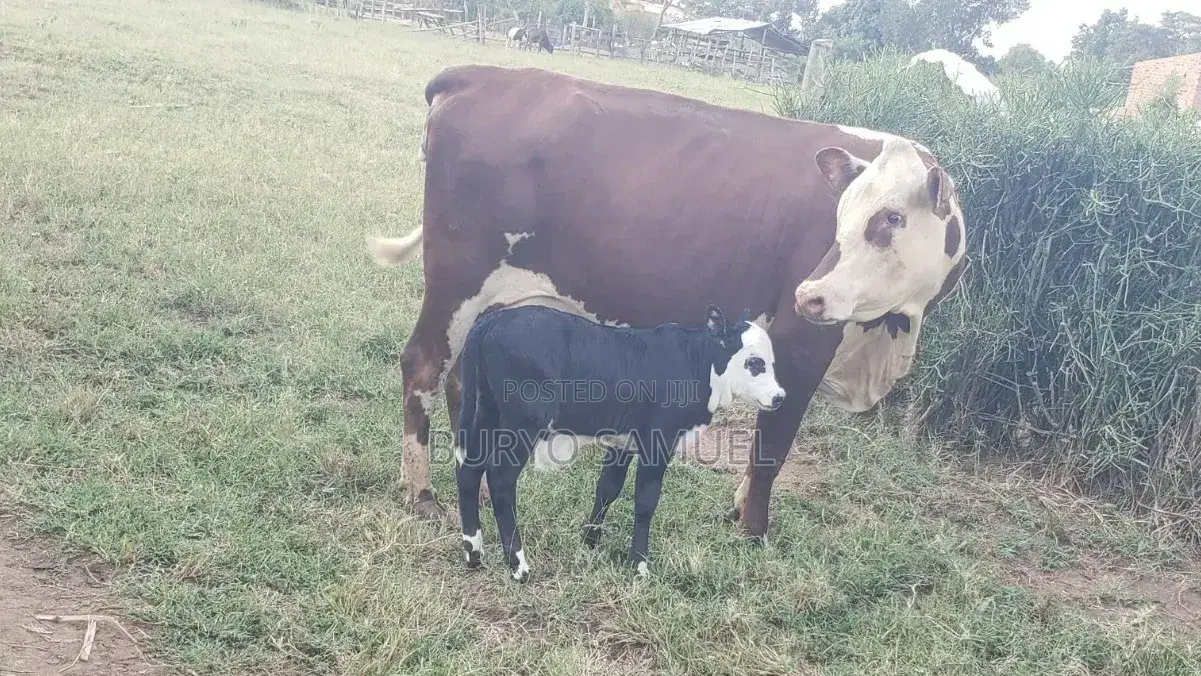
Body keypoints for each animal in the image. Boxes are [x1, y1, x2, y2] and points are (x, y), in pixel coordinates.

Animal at [368, 65, 968, 541]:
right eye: (839, 214)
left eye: (891, 217)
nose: (809, 293)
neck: (883, 337)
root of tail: (476, 73)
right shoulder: (802, 339)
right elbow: (773, 444)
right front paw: (754, 531)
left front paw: (738, 510)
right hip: (457, 277)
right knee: (423, 365)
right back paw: (422, 495)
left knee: (463, 377)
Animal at [456, 304, 787, 582]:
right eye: (754, 363)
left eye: (772, 362)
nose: (779, 397)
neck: (697, 366)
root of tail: (492, 321)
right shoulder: (657, 444)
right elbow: (646, 501)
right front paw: (638, 564)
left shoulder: (622, 442)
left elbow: (607, 489)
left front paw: (590, 540)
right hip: (521, 424)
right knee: (500, 478)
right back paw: (518, 564)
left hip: (484, 413)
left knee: (469, 470)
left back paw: (474, 551)